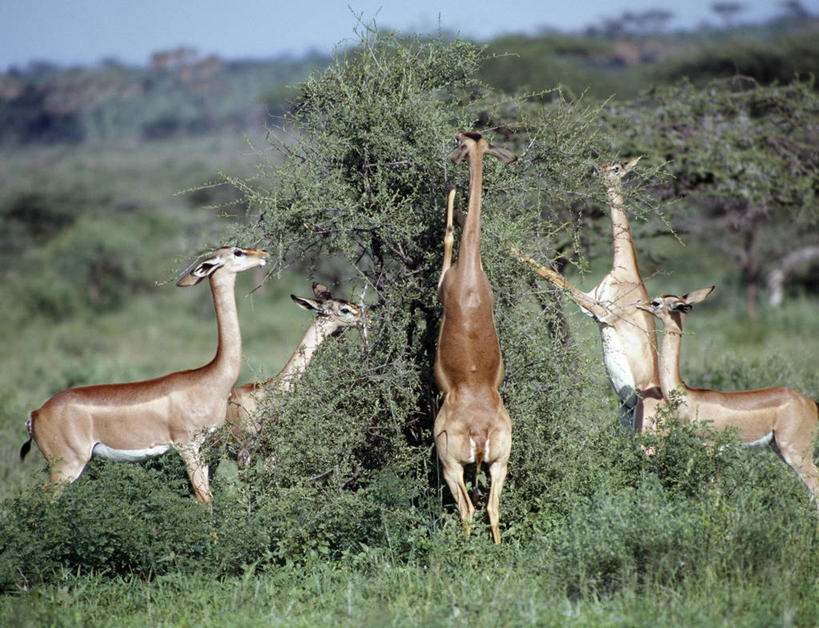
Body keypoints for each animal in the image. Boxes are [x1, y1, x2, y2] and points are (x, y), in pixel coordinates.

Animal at [20, 248, 270, 502]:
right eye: (237, 251)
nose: (263, 253)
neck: (212, 380)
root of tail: (35, 414)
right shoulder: (187, 446)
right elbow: (204, 500)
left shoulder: (205, 448)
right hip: (66, 467)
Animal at [512, 156, 668, 432]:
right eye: (604, 164)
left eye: (616, 168)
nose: (597, 171)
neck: (626, 273)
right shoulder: (590, 306)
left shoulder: (602, 312)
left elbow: (558, 278)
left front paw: (512, 249)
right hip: (625, 414)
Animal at [640, 288, 819, 502]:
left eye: (656, 302)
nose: (638, 303)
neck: (688, 397)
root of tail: (810, 403)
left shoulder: (711, 448)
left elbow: (713, 491)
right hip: (779, 448)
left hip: (795, 450)